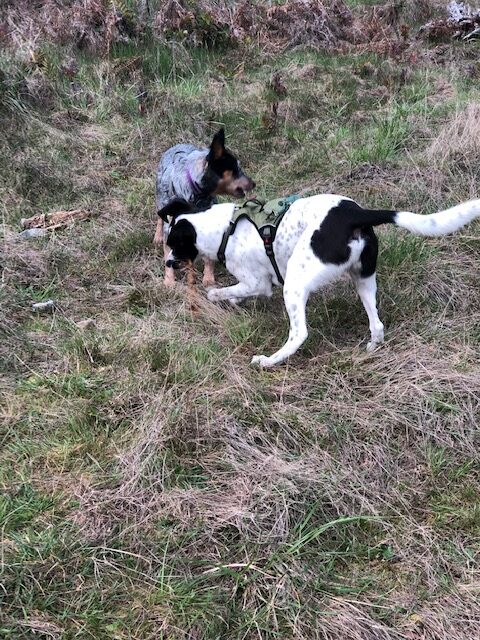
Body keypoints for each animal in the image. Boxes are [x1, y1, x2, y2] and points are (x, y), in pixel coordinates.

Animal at [155, 129, 255, 286]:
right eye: (235, 169)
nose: (254, 183)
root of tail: (177, 145)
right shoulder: (171, 227)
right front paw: (169, 280)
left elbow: (208, 258)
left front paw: (208, 277)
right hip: (160, 199)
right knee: (160, 217)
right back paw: (157, 235)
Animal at [162, 194, 480, 364]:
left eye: (175, 244)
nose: (166, 262)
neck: (224, 228)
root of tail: (354, 215)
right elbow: (237, 293)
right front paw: (233, 300)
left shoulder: (258, 283)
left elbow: (228, 291)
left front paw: (218, 296)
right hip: (363, 279)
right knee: (377, 323)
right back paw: (372, 346)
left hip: (295, 282)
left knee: (299, 333)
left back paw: (269, 361)